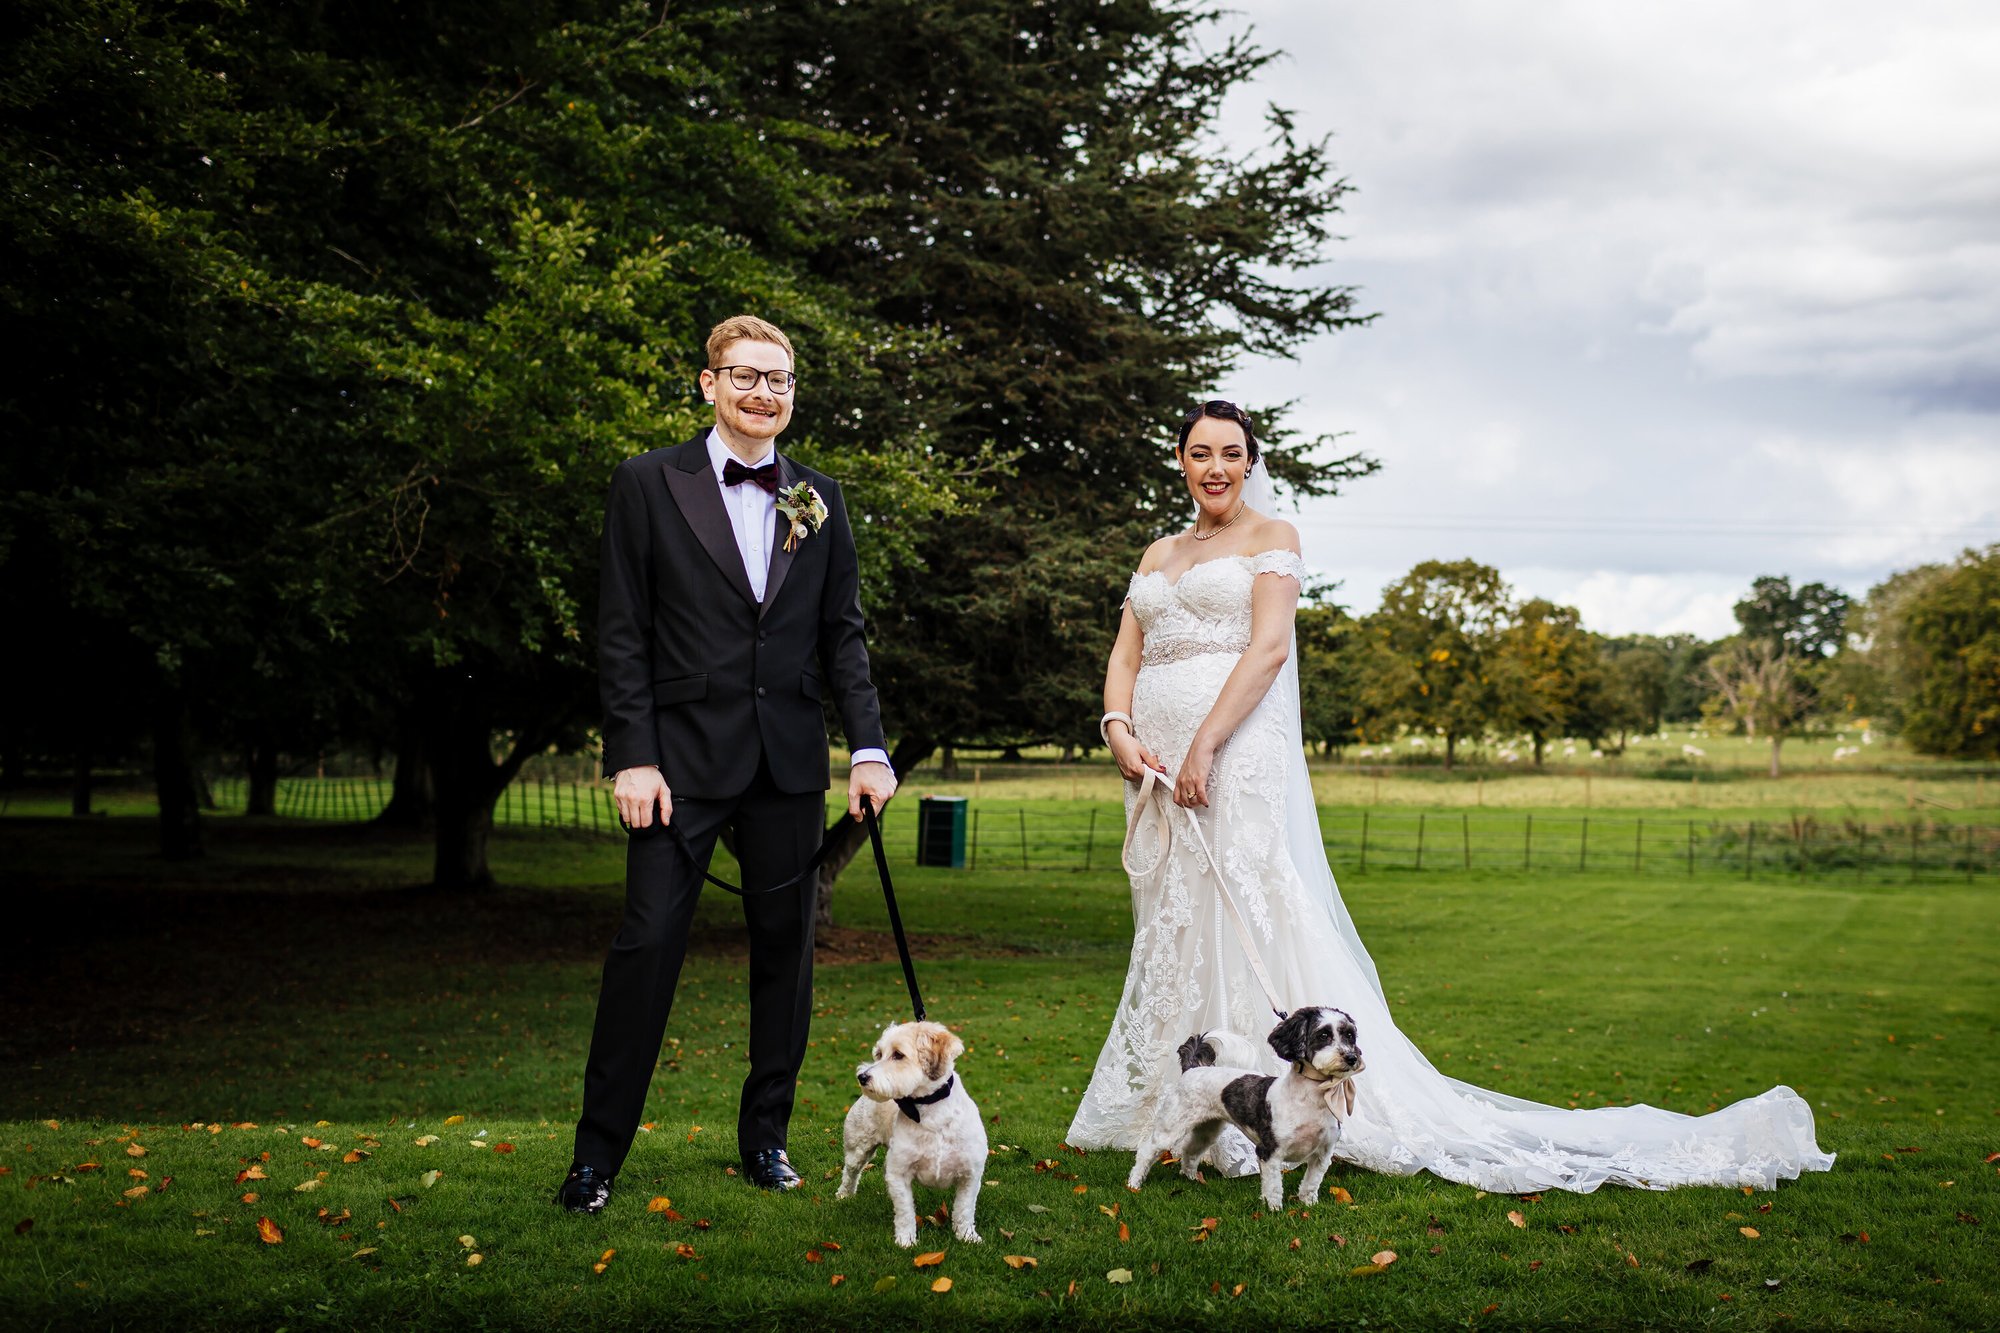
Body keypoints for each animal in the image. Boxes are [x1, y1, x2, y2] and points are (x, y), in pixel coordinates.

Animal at [836, 1016, 984, 1248]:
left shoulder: (971, 1175)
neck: (931, 1111)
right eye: (879, 1054)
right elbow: (905, 1211)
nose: (862, 1076)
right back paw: (844, 1194)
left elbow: (964, 1209)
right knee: (850, 1173)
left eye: (898, 1055)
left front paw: (967, 1236)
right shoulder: (899, 1173)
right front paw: (906, 1240)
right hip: (857, 1148)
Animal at [1128, 1000, 1360, 1208]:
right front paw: (1274, 1210)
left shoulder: (1323, 1154)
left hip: (1208, 1129)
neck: (1310, 1101)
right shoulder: (1269, 1152)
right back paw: (1134, 1184)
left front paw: (1309, 1205)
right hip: (1171, 1126)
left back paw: (1190, 1178)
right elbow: (1273, 1187)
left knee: (1191, 1150)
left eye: (1350, 1036)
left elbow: (1311, 1184)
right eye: (1324, 1035)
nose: (1351, 1057)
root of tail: (1194, 1068)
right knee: (1147, 1151)